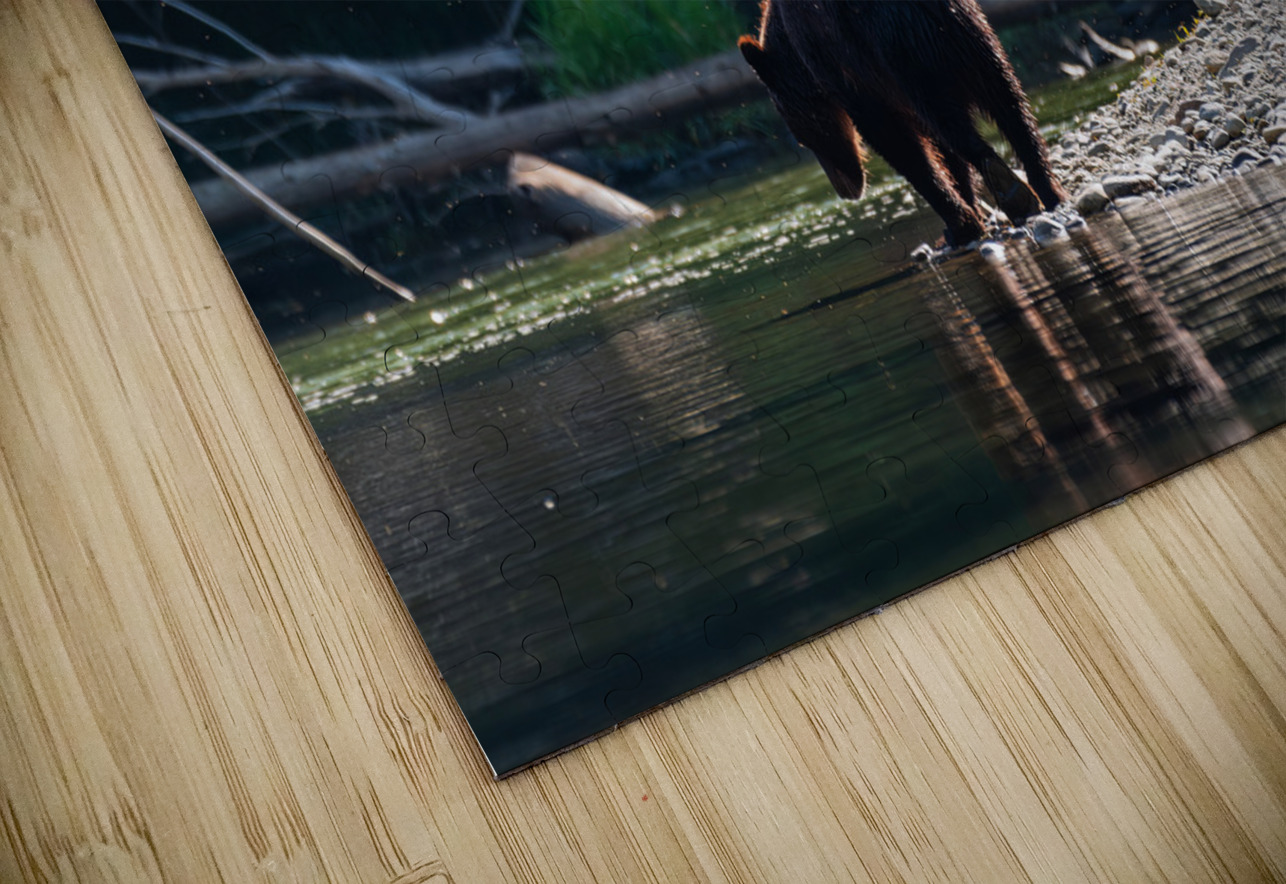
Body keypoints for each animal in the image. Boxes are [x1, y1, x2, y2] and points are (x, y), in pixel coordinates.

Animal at [739, 0, 1067, 246]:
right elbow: (940, 151)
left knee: (951, 123)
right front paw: (968, 211)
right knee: (1010, 103)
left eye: (804, 139)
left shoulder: (850, 74)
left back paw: (1011, 190)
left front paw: (958, 225)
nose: (845, 189)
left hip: (901, 50)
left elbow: (900, 146)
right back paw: (1048, 190)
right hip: (970, 35)